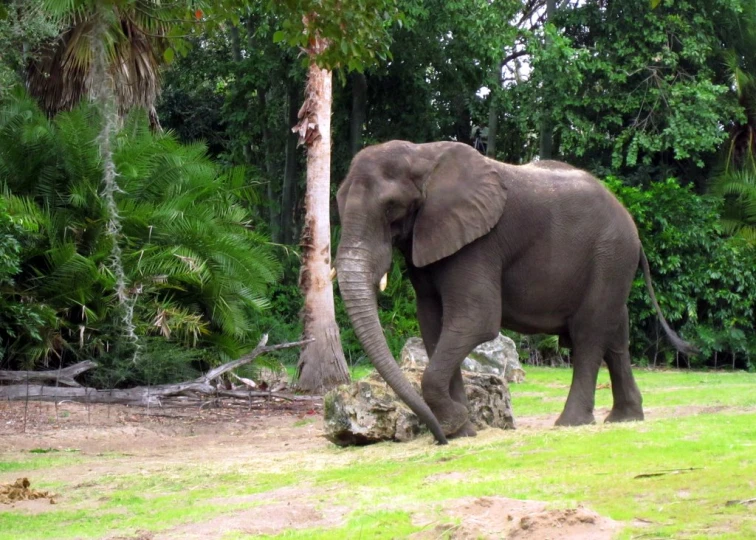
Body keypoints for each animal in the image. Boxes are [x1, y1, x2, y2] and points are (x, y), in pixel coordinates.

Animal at [336, 140, 696, 448]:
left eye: (391, 207)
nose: (439, 439)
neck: (422, 156)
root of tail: (632, 226)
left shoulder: (478, 244)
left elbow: (476, 320)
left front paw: (455, 424)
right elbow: (433, 326)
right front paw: (464, 431)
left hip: (610, 255)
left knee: (589, 334)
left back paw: (570, 423)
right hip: (613, 264)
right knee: (616, 335)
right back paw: (624, 419)